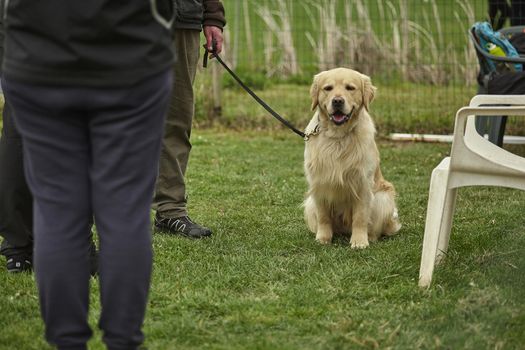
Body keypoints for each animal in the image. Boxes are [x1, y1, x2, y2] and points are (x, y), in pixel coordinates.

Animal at [300, 67, 400, 249]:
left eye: (350, 88)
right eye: (328, 88)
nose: (337, 101)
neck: (337, 137)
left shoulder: (362, 183)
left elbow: (360, 217)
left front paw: (359, 242)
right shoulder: (319, 183)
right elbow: (323, 216)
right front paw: (323, 238)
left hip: (383, 198)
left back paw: (369, 237)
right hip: (310, 202)